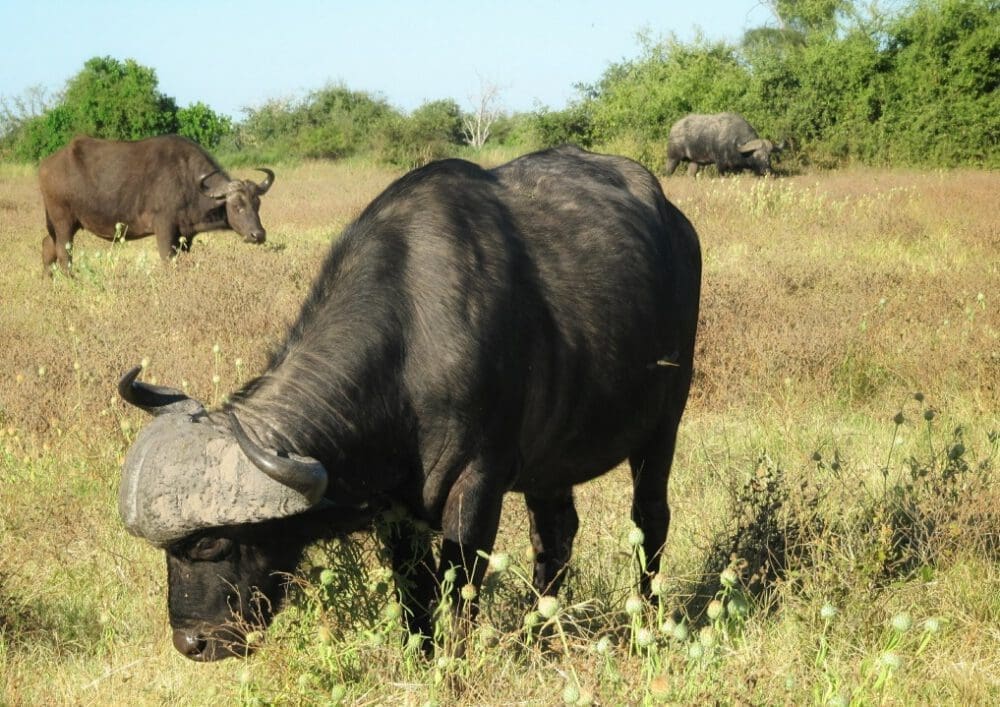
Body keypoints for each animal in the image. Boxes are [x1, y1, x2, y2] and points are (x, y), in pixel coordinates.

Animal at [38, 134, 274, 276]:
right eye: (236, 206)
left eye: (257, 204)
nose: (258, 234)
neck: (187, 181)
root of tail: (46, 165)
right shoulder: (164, 228)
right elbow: (167, 261)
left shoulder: (185, 236)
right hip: (63, 222)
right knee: (63, 254)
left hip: (62, 225)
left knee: (47, 246)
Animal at [117, 145, 704, 664]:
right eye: (165, 550)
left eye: (211, 545)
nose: (192, 643)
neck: (412, 348)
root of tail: (677, 225)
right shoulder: (398, 508)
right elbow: (413, 594)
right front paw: (421, 657)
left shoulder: (478, 485)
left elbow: (460, 589)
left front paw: (455, 663)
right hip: (551, 463)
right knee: (555, 534)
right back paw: (542, 632)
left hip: (664, 425)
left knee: (649, 517)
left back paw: (648, 617)